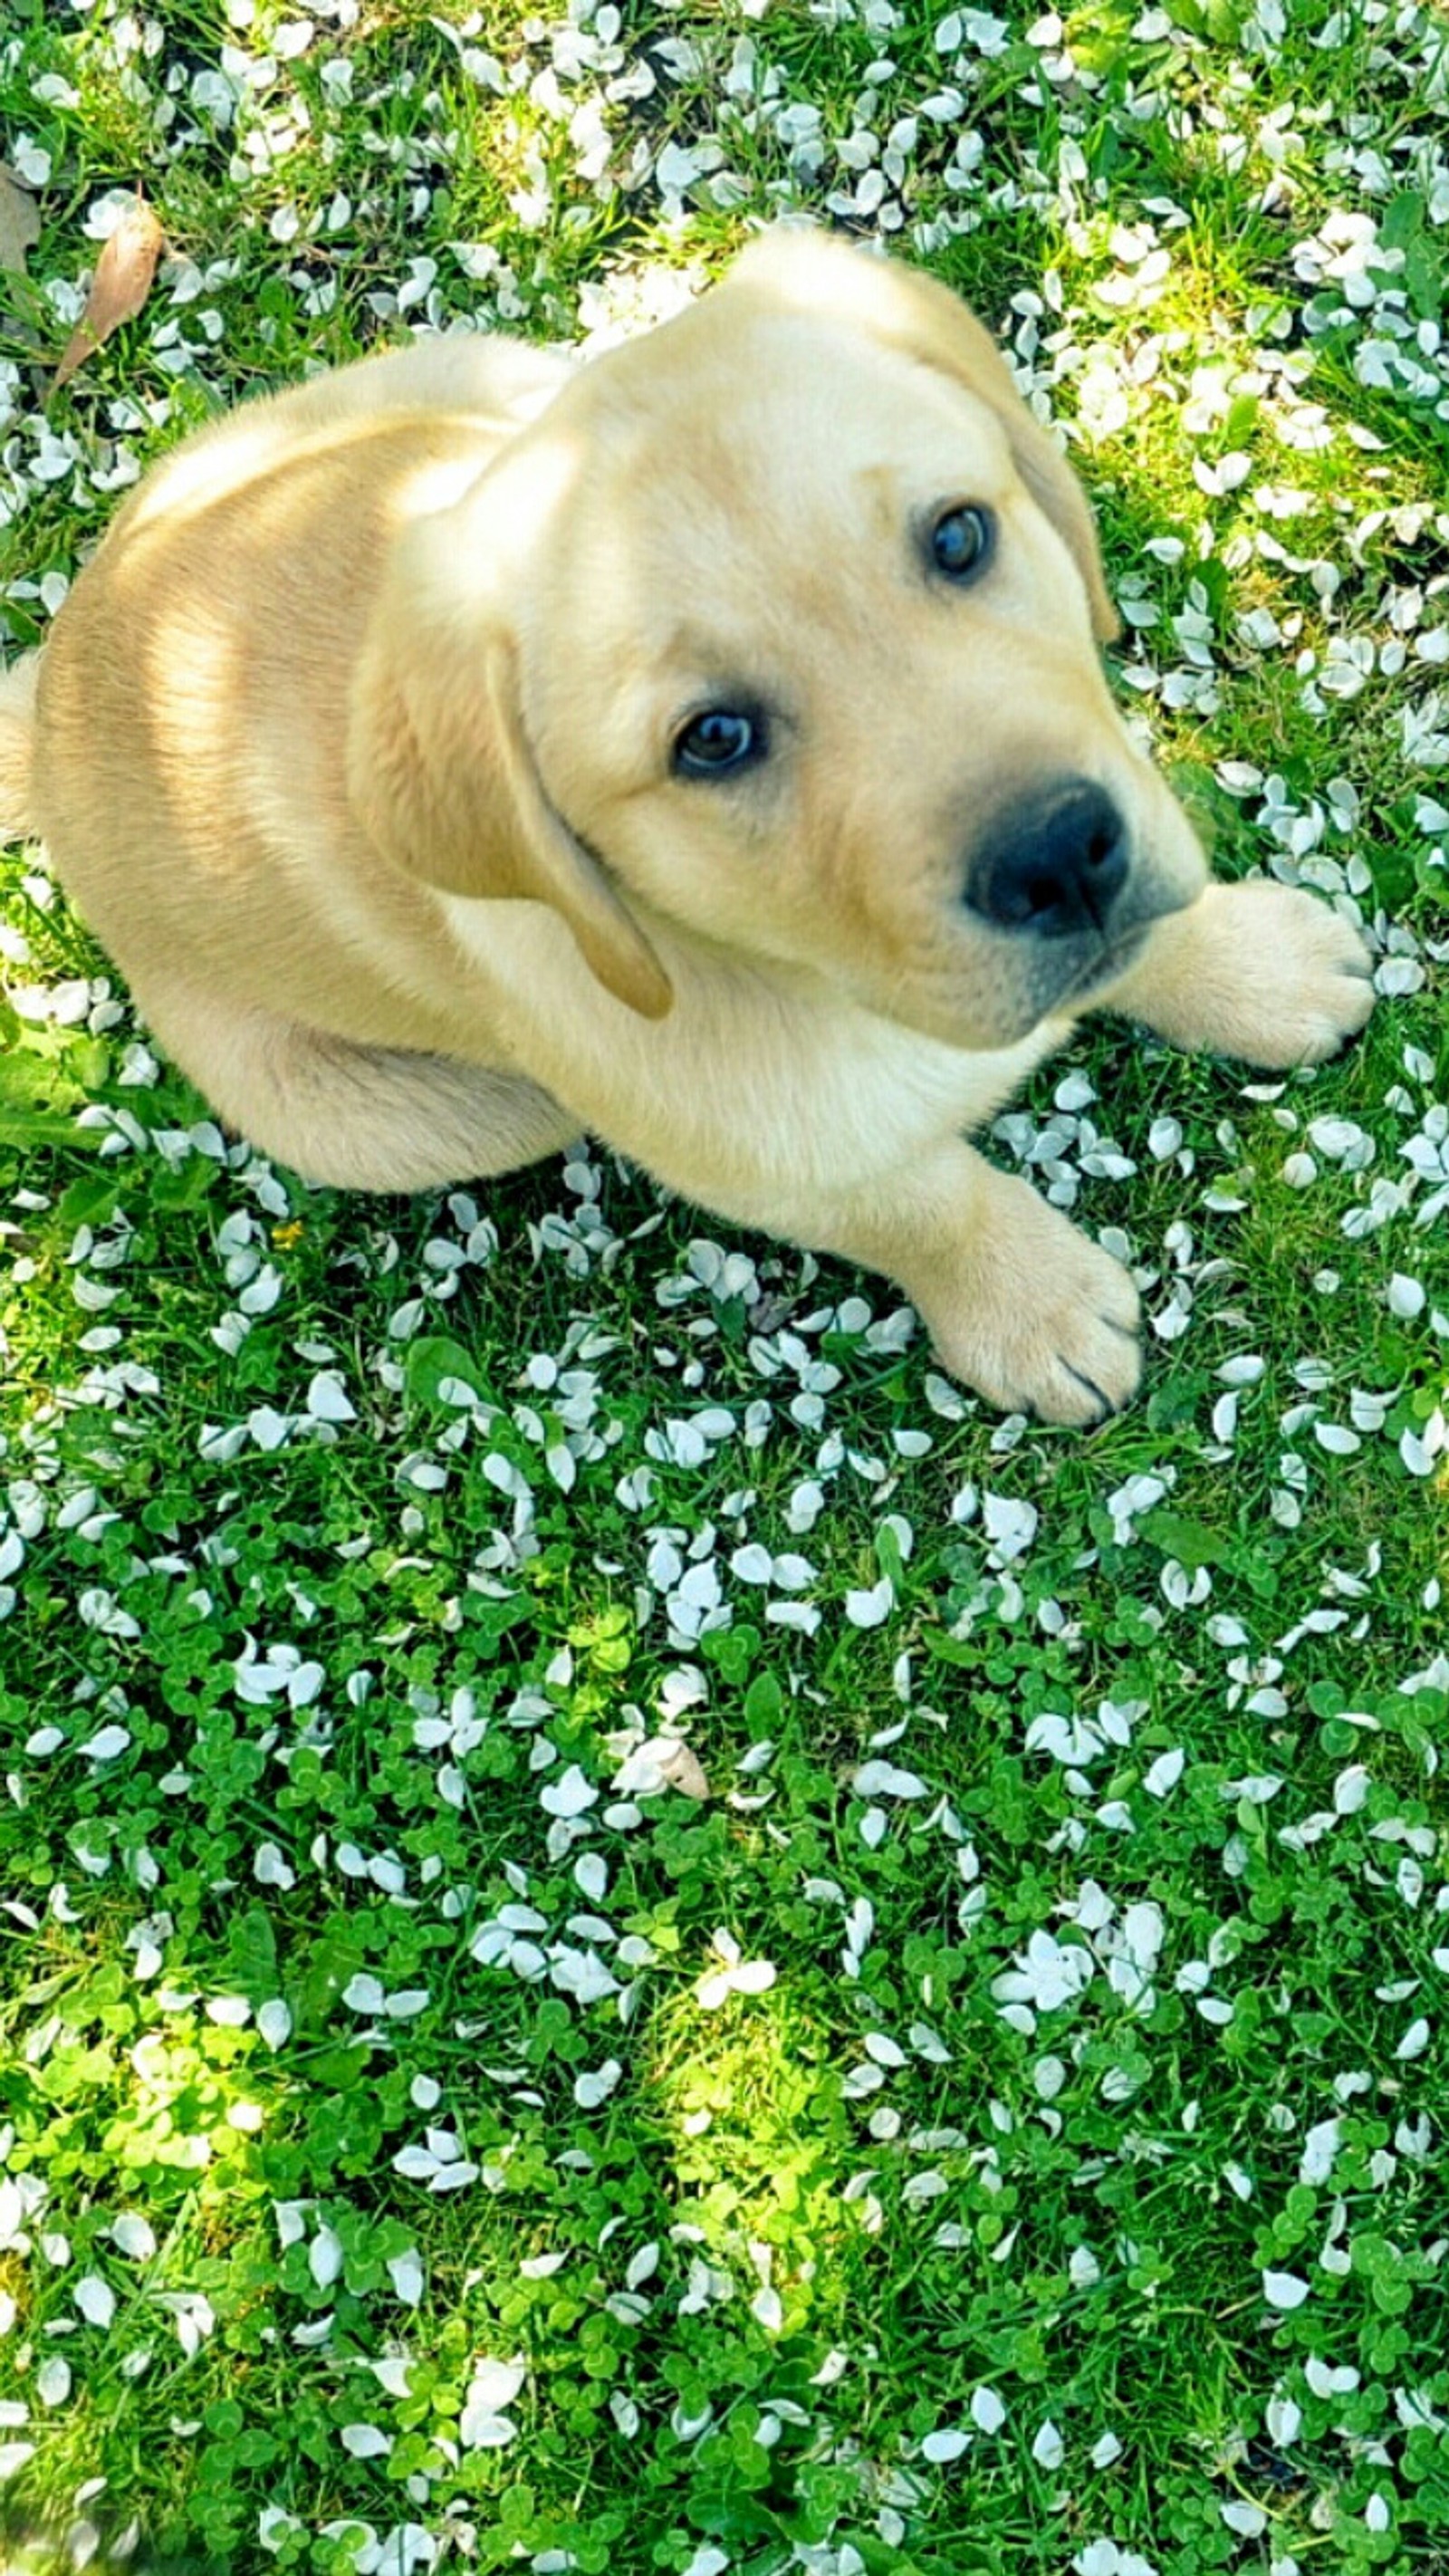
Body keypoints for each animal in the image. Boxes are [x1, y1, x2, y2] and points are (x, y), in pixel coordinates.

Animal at [0, 229, 1368, 1421]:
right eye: (712, 740)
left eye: (960, 535)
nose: (1061, 860)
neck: (812, 979)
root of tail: (55, 678)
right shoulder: (761, 1162)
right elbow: (927, 1204)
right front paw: (1032, 1309)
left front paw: (1253, 969)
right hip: (421, 1116)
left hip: (462, 380)